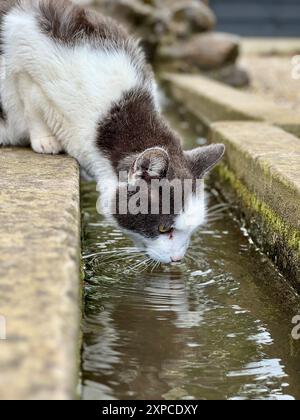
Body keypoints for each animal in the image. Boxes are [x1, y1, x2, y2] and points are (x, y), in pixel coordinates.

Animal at [0, 0, 225, 262]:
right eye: (163, 228)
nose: (177, 259)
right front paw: (45, 139)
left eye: (192, 230)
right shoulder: (22, 40)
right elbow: (31, 103)